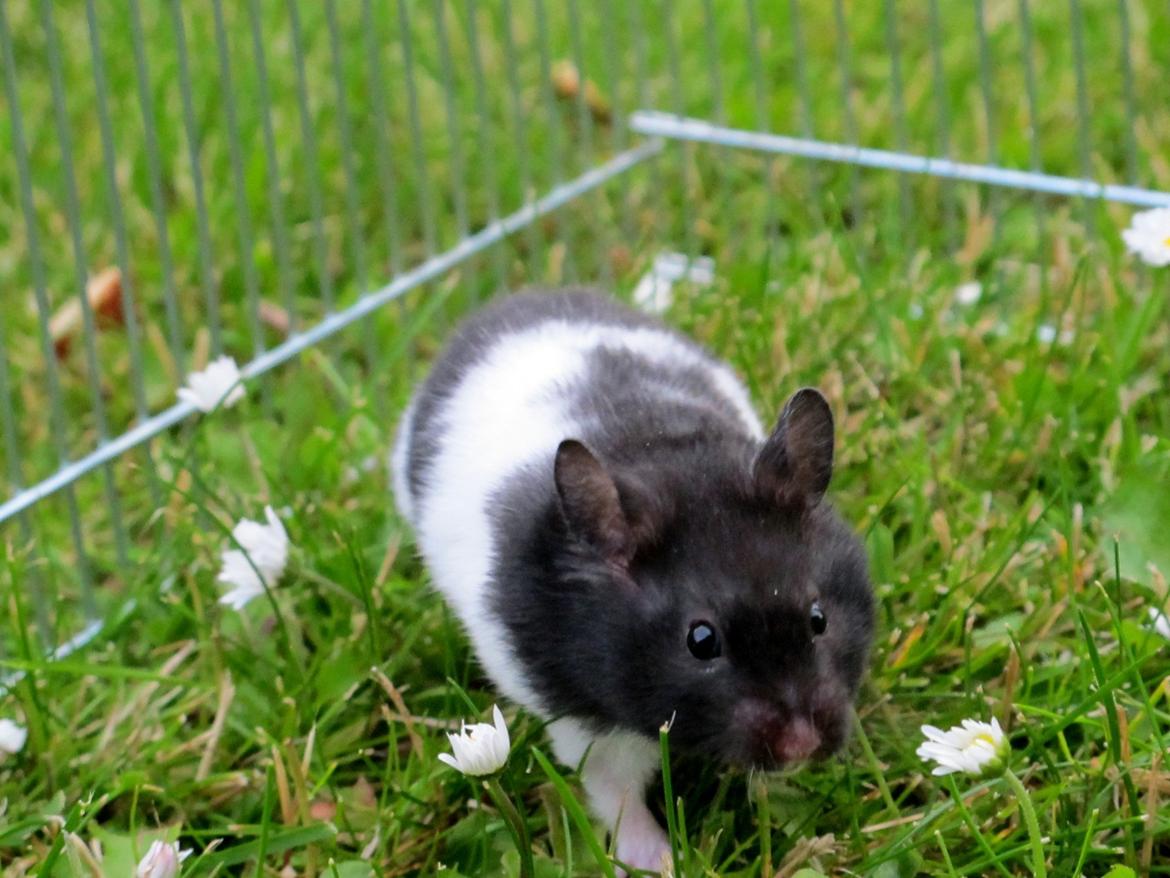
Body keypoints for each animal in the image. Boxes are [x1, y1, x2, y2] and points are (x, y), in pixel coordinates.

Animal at [392, 289, 874, 875]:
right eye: (700, 641)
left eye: (819, 619)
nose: (801, 746)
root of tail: (510, 299)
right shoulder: (585, 727)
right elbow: (616, 795)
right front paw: (662, 861)